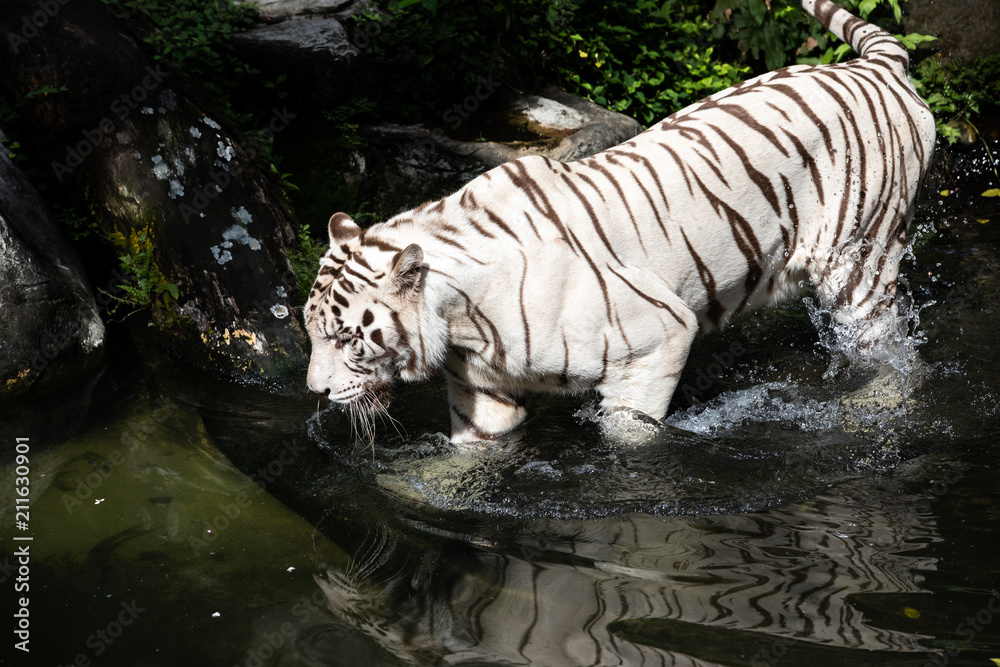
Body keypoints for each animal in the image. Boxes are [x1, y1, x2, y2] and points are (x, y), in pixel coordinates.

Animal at [304, 1, 936, 448]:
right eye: (311, 334)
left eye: (346, 339)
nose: (316, 391)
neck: (461, 321)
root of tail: (878, 66)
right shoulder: (482, 395)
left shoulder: (659, 338)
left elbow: (628, 435)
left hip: (860, 263)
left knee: (892, 355)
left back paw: (874, 407)